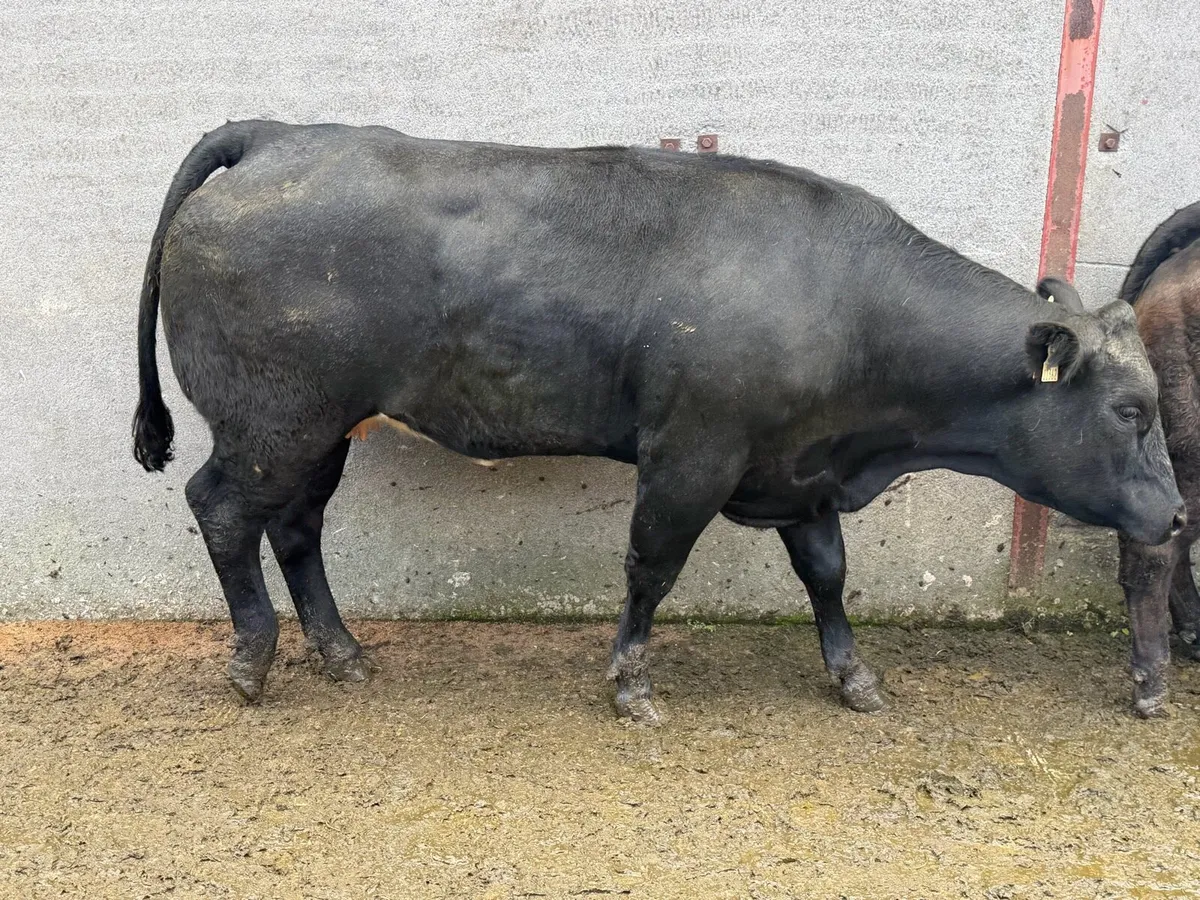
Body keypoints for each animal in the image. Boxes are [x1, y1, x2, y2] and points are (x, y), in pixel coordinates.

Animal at [133, 120, 1184, 722]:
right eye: (1131, 409)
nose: (1177, 516)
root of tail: (278, 135)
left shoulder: (797, 469)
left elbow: (827, 575)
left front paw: (854, 678)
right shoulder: (692, 452)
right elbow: (652, 566)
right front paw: (630, 684)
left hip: (317, 429)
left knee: (295, 526)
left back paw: (342, 654)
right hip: (271, 422)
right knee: (222, 510)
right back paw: (253, 661)